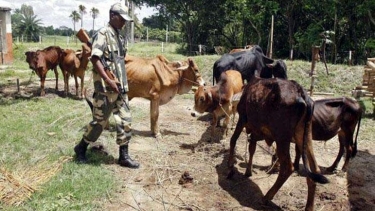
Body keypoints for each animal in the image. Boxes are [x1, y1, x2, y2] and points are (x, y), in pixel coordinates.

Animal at [226, 77, 328, 211]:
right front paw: (248, 171)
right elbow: (252, 148)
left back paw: (266, 197)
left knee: (288, 167)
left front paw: (230, 168)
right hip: (304, 136)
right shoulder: (255, 130)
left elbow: (233, 140)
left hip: (282, 138)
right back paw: (308, 207)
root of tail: (300, 91)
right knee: (314, 169)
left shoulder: (243, 118)